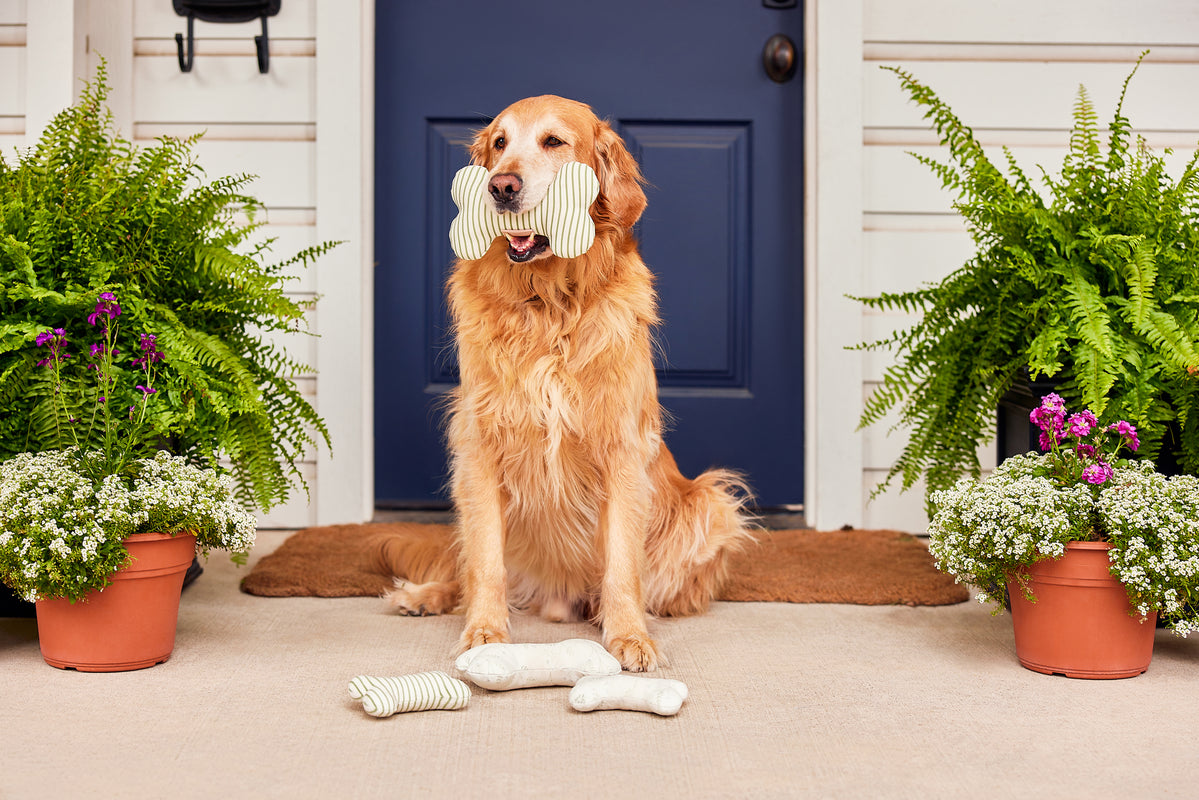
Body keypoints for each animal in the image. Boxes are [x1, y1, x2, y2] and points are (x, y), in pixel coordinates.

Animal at [376, 97, 748, 671]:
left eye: (553, 142)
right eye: (500, 143)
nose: (501, 186)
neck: (547, 301)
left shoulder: (622, 447)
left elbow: (622, 564)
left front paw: (629, 636)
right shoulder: (479, 444)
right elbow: (485, 561)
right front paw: (484, 633)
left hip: (710, 503)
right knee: (465, 568)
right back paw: (426, 596)